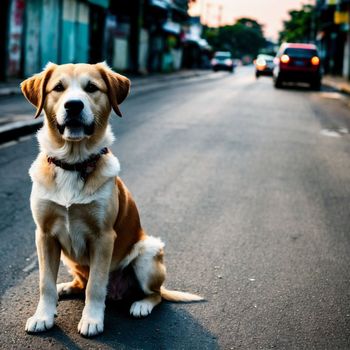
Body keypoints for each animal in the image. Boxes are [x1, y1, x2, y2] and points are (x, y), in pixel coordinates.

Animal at [21, 62, 202, 336]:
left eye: (92, 88)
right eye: (58, 88)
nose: (73, 105)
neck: (74, 163)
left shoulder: (103, 237)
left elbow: (96, 286)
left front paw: (92, 320)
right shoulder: (44, 235)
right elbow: (45, 283)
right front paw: (43, 316)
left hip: (148, 253)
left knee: (155, 294)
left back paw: (141, 305)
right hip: (68, 258)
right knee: (81, 282)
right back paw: (67, 286)